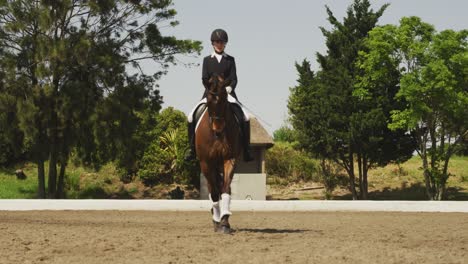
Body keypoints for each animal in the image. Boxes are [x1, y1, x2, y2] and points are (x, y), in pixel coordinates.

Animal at [196, 74, 243, 233]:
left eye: (224, 100)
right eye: (209, 101)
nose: (218, 129)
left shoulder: (229, 158)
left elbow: (225, 189)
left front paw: (225, 222)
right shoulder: (205, 162)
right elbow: (215, 193)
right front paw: (217, 221)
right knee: (212, 189)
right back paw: (215, 217)